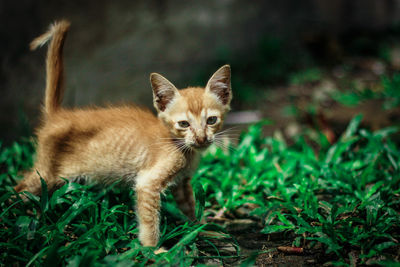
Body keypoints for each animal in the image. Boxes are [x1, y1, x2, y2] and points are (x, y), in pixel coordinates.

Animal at [14, 20, 234, 249]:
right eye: (184, 124)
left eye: (211, 120)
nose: (201, 138)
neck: (181, 146)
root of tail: (58, 116)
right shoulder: (147, 183)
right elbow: (149, 220)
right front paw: (154, 250)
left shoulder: (182, 183)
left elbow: (189, 207)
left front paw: (202, 229)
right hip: (46, 174)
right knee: (19, 188)